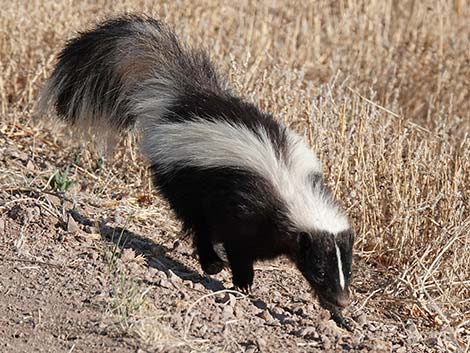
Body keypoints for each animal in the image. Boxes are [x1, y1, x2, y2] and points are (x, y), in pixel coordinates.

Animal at [40, 15, 354, 324]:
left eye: (347, 271)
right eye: (319, 271)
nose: (343, 300)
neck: (293, 189)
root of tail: (185, 98)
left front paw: (336, 315)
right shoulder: (249, 210)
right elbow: (238, 245)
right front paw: (243, 283)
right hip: (183, 180)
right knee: (198, 224)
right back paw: (212, 263)